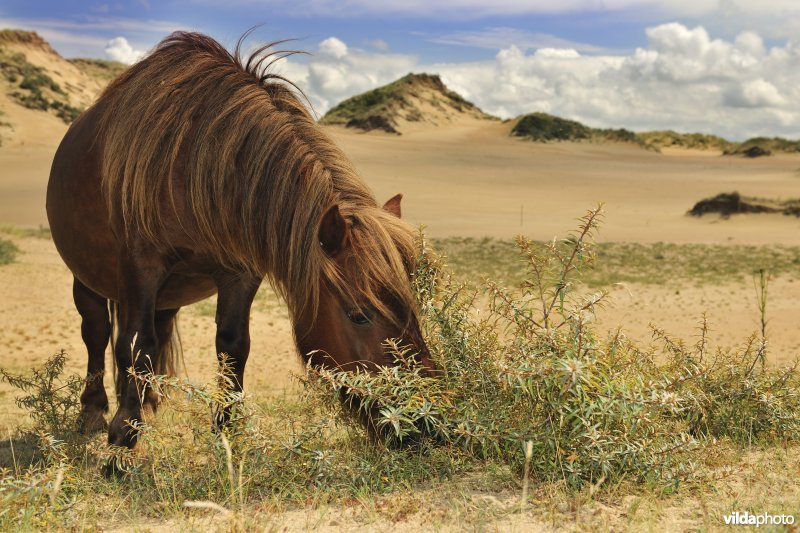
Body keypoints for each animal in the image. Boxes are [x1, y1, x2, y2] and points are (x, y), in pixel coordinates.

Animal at [45, 31, 432, 450]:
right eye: (359, 314)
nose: (423, 425)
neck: (194, 161)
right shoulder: (141, 266)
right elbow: (136, 343)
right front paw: (122, 435)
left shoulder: (240, 272)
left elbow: (231, 346)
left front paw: (226, 431)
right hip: (88, 278)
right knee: (97, 332)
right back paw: (93, 410)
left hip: (169, 293)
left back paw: (149, 402)